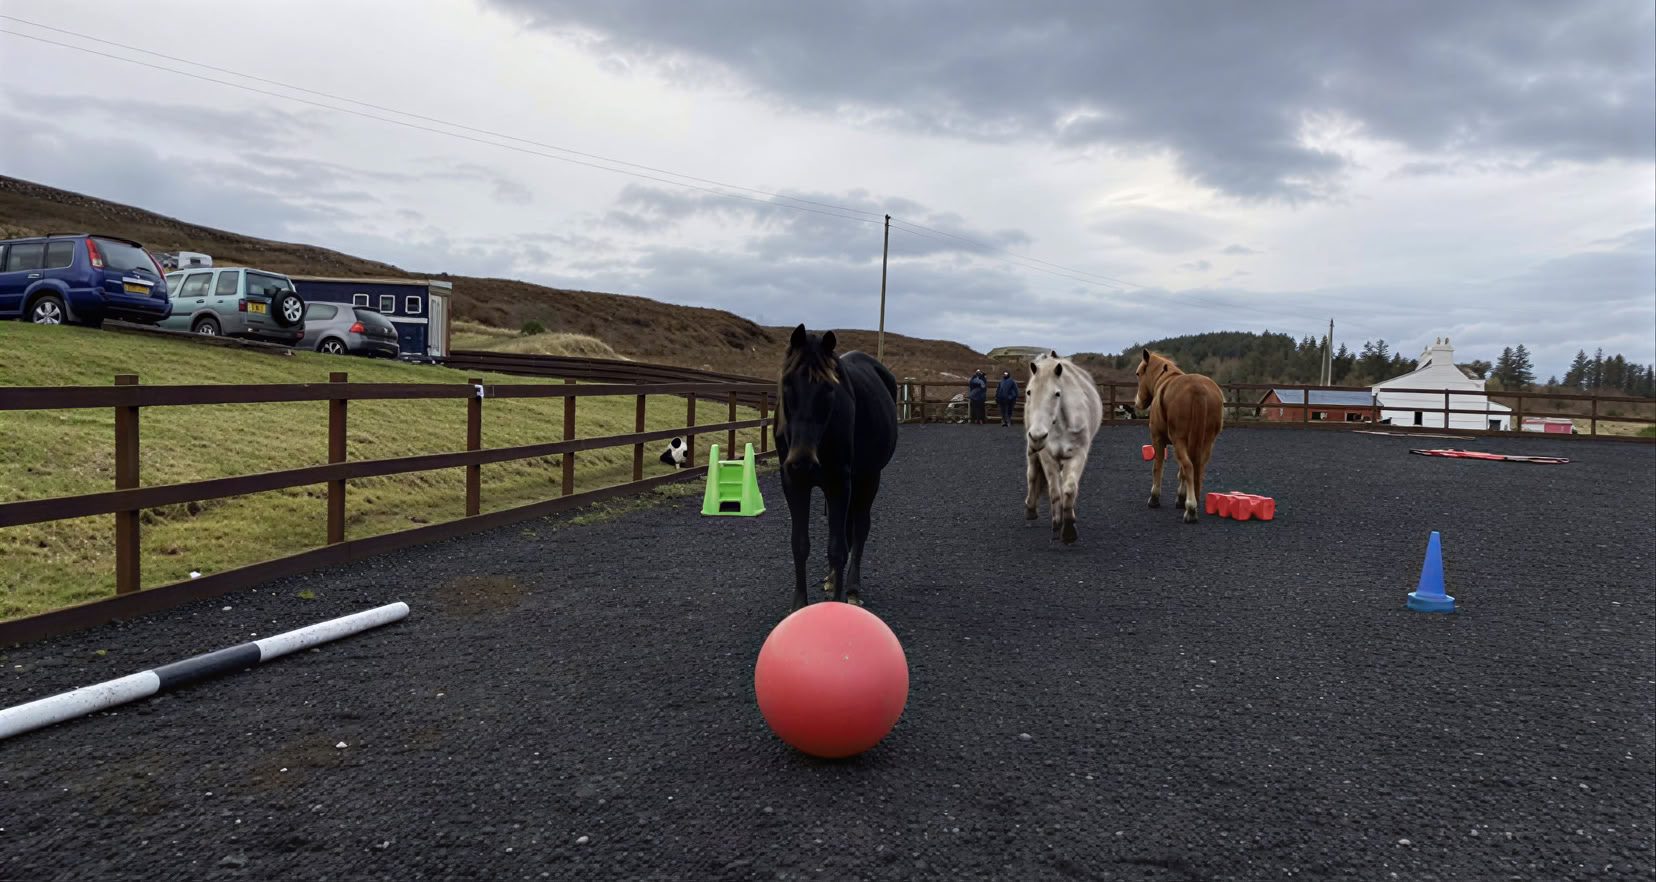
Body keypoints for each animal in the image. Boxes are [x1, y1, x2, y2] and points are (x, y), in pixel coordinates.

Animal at [775, 325, 899, 611]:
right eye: (787, 383)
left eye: (830, 389)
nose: (803, 461)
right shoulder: (793, 482)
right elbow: (799, 544)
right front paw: (799, 605)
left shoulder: (839, 482)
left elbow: (838, 548)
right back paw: (832, 580)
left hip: (868, 478)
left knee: (859, 529)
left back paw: (851, 589)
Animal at [1023, 351, 1103, 544]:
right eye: (1029, 392)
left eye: (1057, 393)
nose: (1037, 436)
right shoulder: (1047, 456)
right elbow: (1054, 491)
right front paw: (1057, 524)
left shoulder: (1078, 455)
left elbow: (1069, 490)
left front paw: (1069, 528)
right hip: (1033, 451)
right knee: (1032, 475)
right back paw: (1030, 510)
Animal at [1135, 349, 1224, 523]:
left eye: (1138, 374)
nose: (1137, 402)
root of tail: (1198, 389)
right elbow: (1181, 472)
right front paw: (1180, 498)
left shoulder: (1158, 438)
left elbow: (1158, 467)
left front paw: (1154, 498)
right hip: (1206, 442)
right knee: (1197, 467)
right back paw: (1193, 500)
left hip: (1179, 440)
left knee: (1189, 466)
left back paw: (1190, 509)